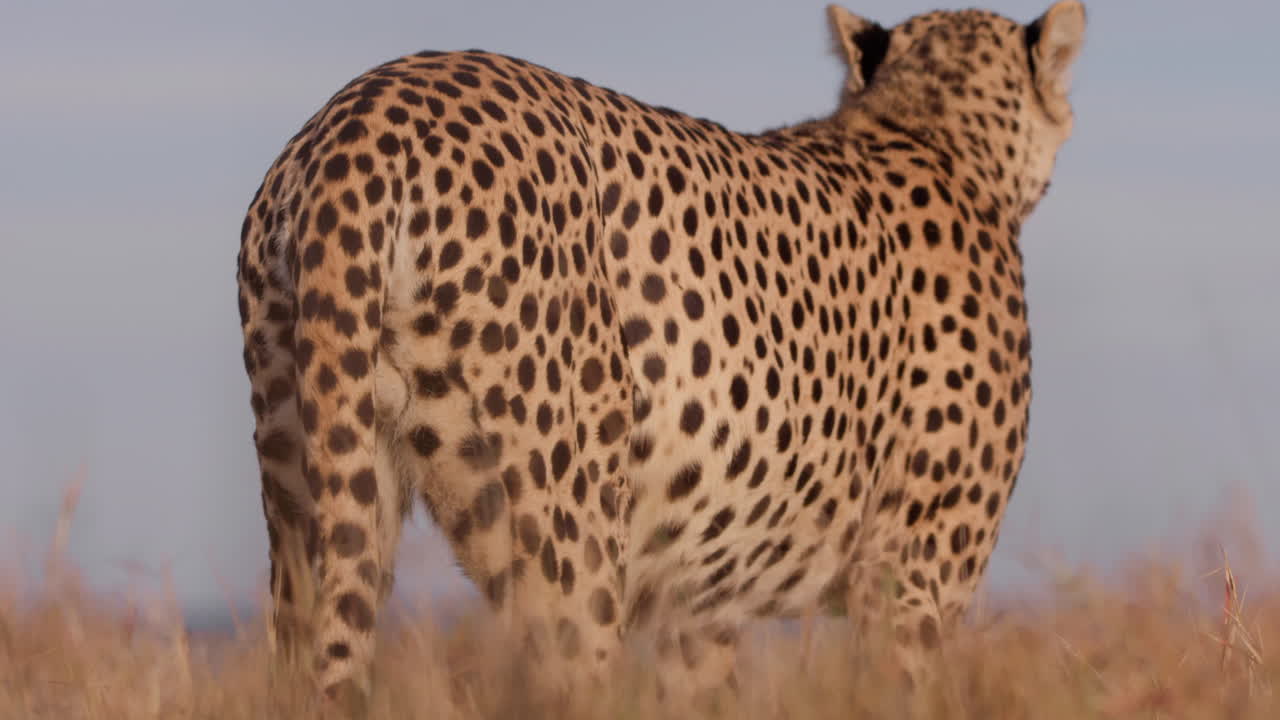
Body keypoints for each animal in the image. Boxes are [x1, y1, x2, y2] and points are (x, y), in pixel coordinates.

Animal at [236, 1, 1085, 711]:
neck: (928, 130)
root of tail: (369, 108)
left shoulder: (702, 607)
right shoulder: (914, 581)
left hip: (312, 497)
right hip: (566, 531)